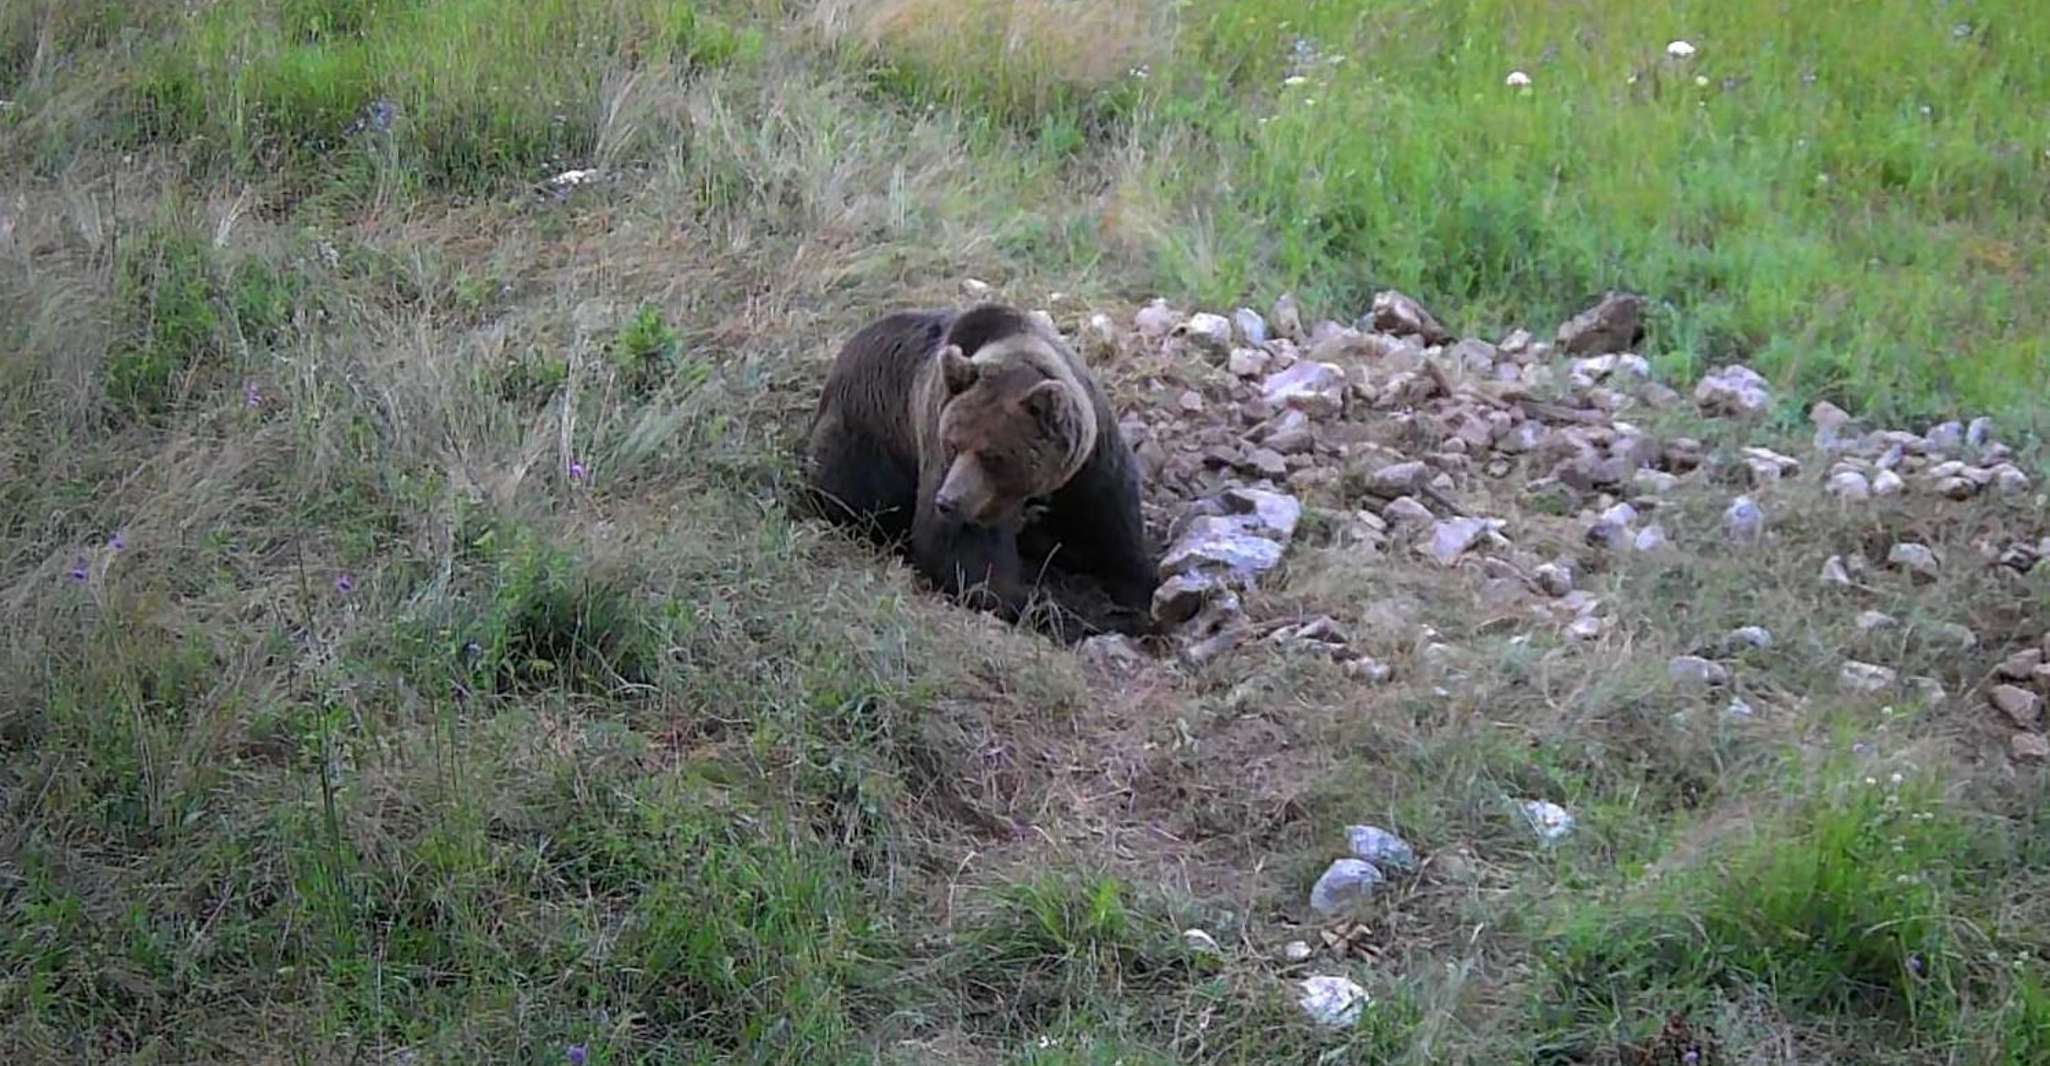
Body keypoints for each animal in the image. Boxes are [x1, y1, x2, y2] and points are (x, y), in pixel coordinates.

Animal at [799, 301, 1156, 631]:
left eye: (992, 456)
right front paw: (1055, 605)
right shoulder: (940, 443)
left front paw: (1133, 594)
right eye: (952, 443)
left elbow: (1113, 524)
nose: (948, 501)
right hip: (863, 438)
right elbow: (964, 554)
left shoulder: (1089, 463)